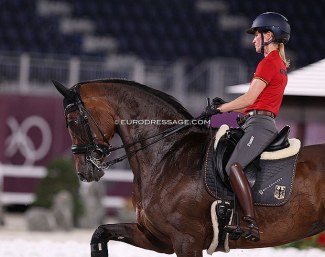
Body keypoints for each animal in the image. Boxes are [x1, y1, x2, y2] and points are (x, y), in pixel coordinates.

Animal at [53, 78, 324, 256]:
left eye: (73, 121)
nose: (84, 172)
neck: (167, 153)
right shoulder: (157, 238)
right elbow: (100, 232)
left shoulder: (186, 240)